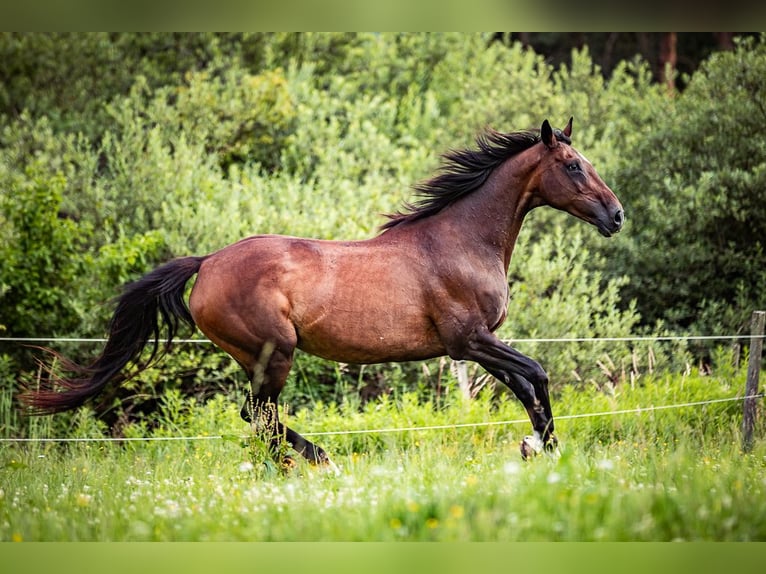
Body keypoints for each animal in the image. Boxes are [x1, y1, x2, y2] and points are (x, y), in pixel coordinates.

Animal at [22, 118, 624, 468]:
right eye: (574, 166)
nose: (617, 215)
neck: (461, 240)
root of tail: (207, 263)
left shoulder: (476, 346)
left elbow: (525, 386)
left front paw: (537, 448)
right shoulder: (468, 341)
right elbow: (537, 374)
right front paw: (545, 449)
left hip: (257, 357)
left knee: (258, 417)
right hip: (274, 352)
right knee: (258, 415)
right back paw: (314, 462)